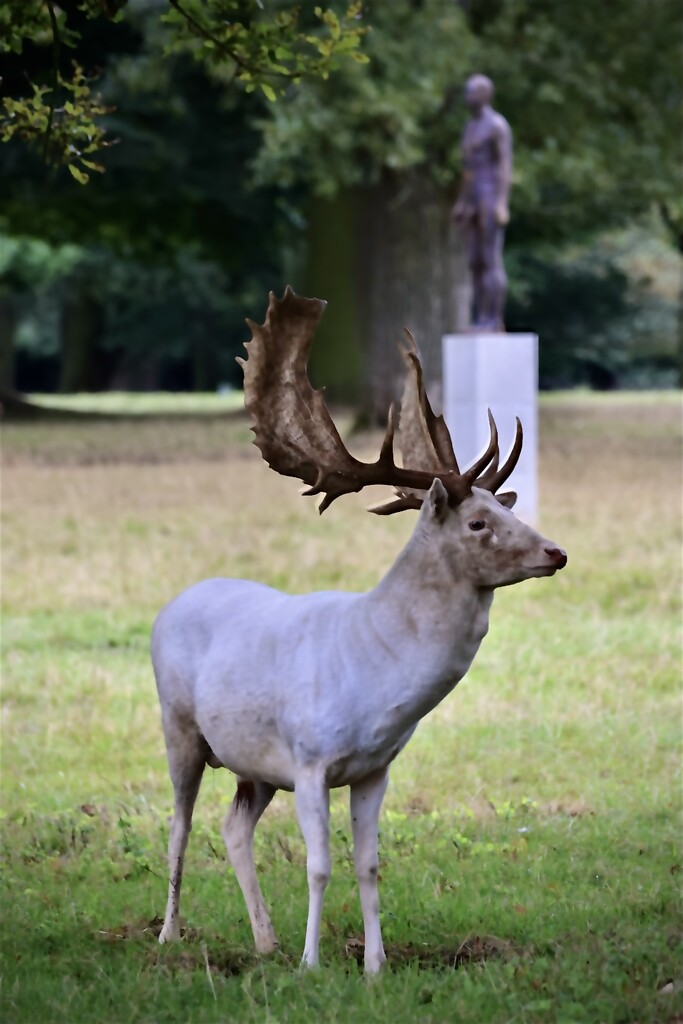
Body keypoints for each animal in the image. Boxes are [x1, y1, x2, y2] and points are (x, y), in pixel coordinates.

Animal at [152, 286, 569, 966]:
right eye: (477, 523)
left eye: (503, 509)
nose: (556, 553)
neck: (378, 677)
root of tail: (174, 601)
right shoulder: (309, 758)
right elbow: (319, 866)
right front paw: (311, 964)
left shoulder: (375, 767)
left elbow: (369, 865)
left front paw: (374, 965)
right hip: (179, 727)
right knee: (179, 826)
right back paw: (169, 935)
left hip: (253, 763)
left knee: (234, 826)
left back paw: (264, 940)